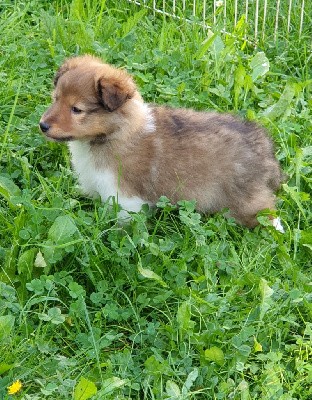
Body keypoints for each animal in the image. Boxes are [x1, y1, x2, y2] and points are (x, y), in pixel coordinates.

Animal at [39, 56, 286, 231]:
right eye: (55, 98)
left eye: (76, 109)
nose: (42, 125)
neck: (113, 134)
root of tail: (263, 146)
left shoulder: (126, 198)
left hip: (243, 202)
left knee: (268, 214)